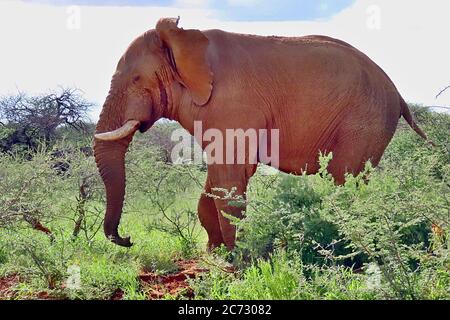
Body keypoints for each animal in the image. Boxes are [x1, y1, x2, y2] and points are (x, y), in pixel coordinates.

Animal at [93, 16, 430, 250]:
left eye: (136, 79)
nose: (127, 239)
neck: (186, 41)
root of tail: (398, 93)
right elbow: (216, 184)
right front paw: (214, 254)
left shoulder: (233, 105)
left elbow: (229, 179)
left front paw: (236, 263)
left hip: (365, 121)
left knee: (345, 179)